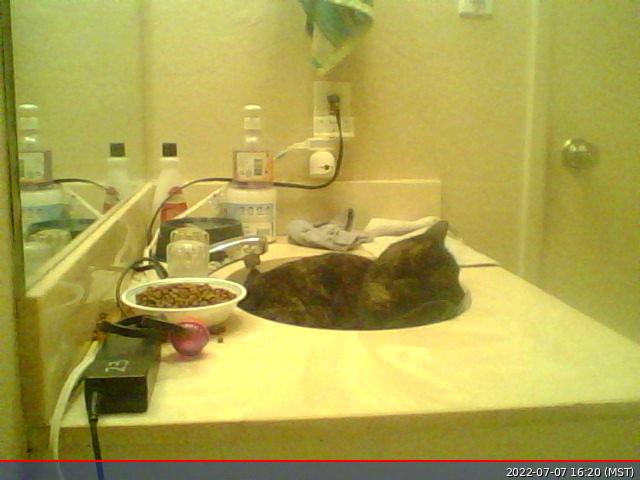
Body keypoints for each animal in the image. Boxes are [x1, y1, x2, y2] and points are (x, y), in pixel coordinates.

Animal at [240, 221, 465, 330]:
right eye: (450, 280)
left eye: (458, 274)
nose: (463, 295)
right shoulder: (373, 324)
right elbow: (421, 312)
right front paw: (443, 307)